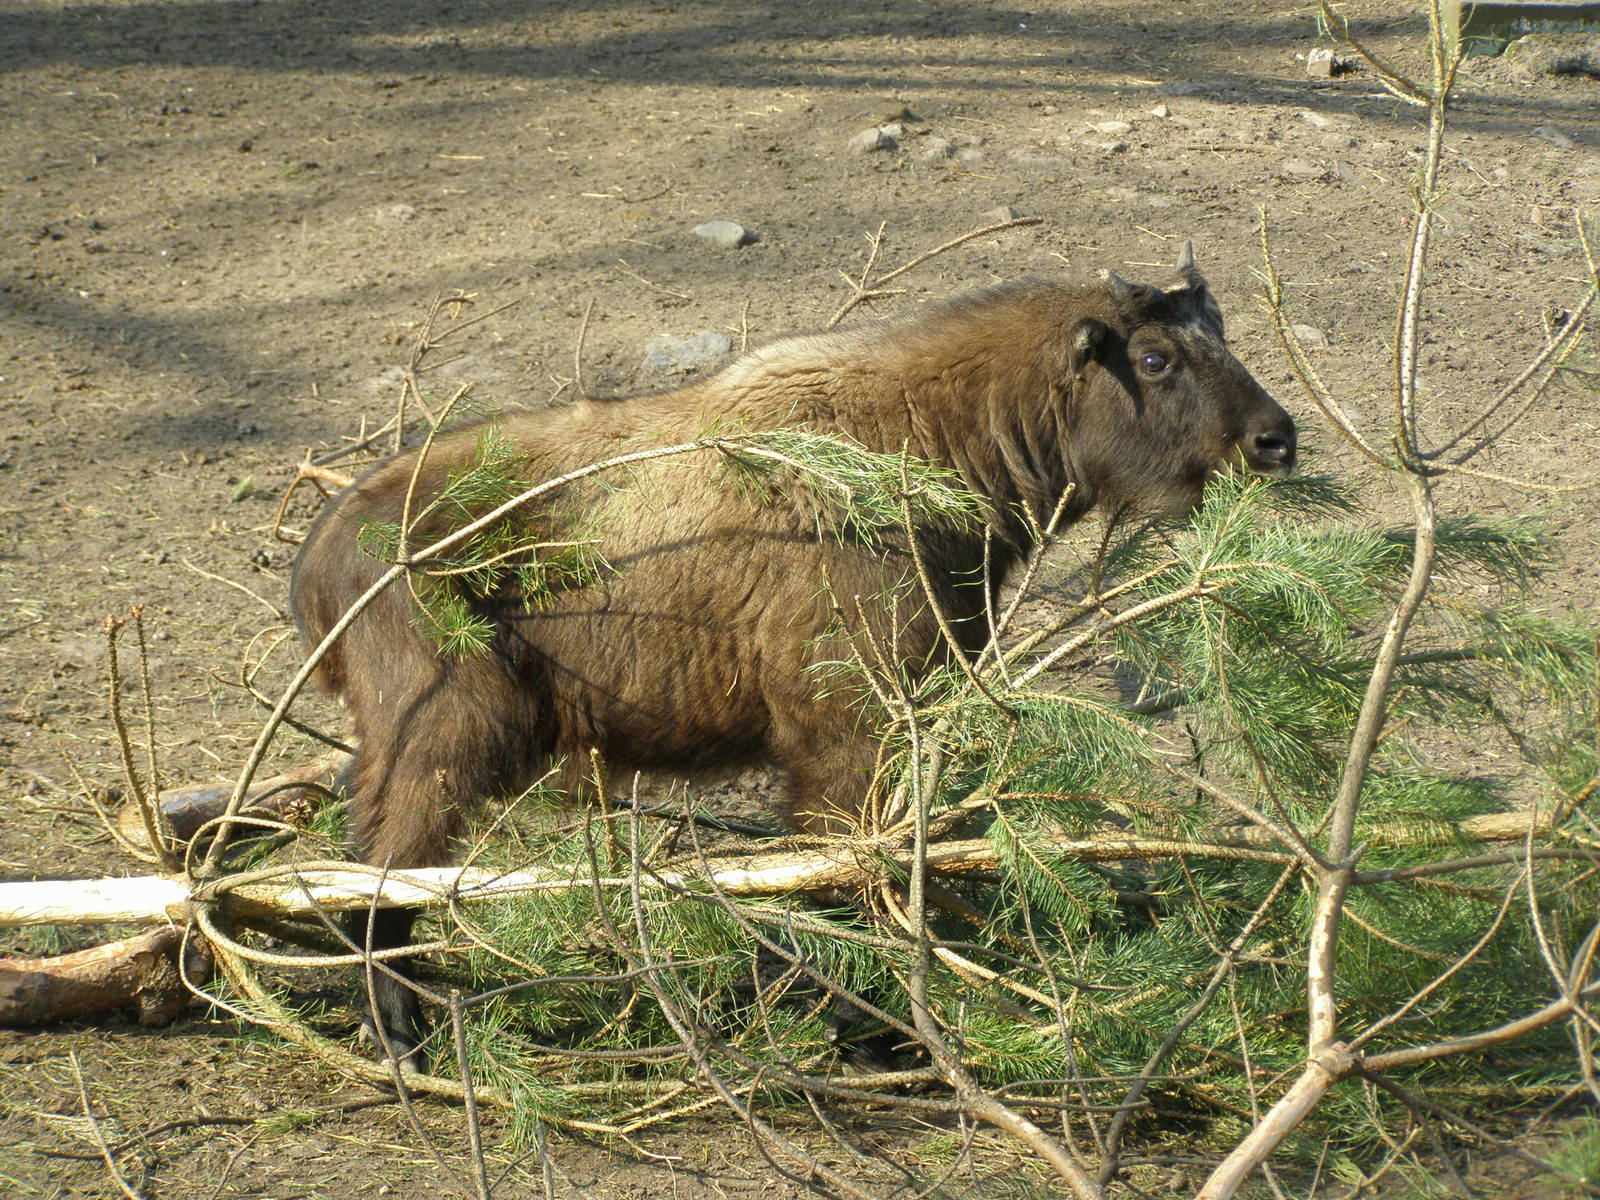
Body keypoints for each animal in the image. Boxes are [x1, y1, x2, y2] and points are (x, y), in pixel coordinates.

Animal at [290, 244, 1296, 1061]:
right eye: (1156, 357)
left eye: (1219, 333)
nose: (1275, 440)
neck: (927, 437)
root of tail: (329, 541)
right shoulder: (846, 732)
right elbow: (843, 873)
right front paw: (864, 1029)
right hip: (445, 736)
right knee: (383, 870)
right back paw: (403, 1032)